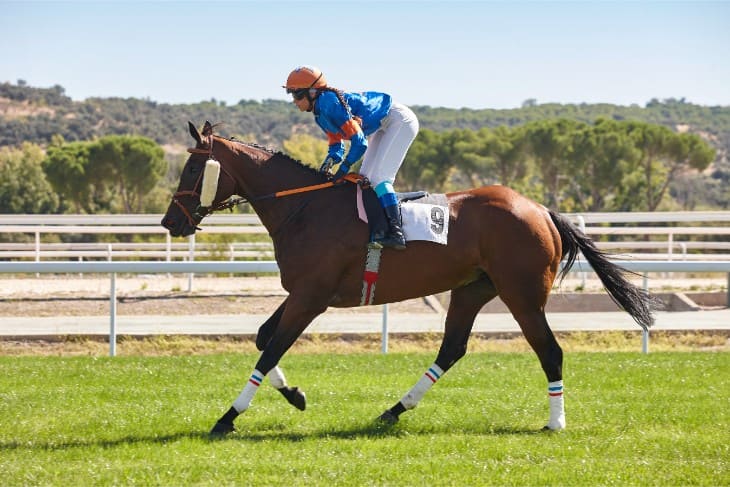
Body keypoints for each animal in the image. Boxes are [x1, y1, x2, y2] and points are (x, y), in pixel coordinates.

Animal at [162, 121, 652, 434]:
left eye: (193, 168)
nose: (170, 222)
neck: (303, 206)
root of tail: (542, 210)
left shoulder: (311, 297)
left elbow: (270, 349)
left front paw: (227, 417)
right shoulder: (303, 291)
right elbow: (265, 339)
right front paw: (295, 395)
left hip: (523, 295)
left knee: (549, 351)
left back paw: (555, 422)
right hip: (472, 289)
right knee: (452, 348)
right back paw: (395, 410)